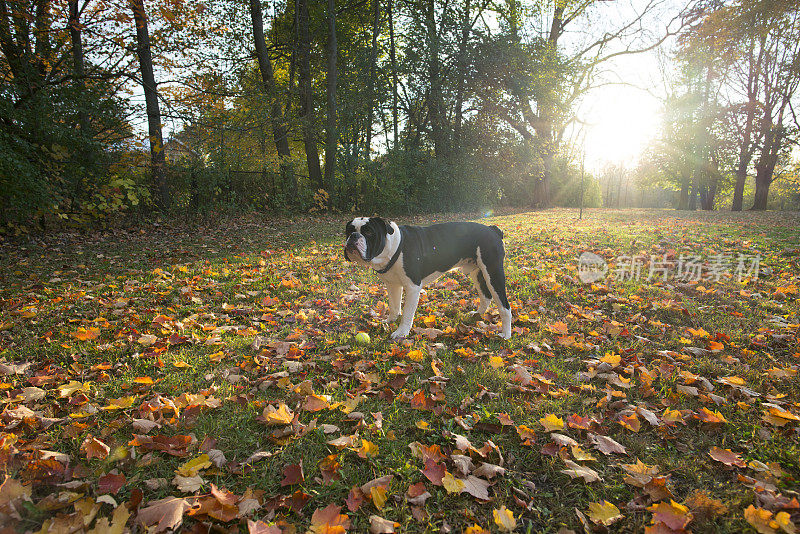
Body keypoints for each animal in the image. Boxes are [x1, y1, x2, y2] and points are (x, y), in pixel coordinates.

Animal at [346, 220, 512, 342]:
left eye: (368, 232)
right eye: (348, 230)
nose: (353, 236)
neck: (393, 246)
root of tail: (492, 229)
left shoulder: (412, 287)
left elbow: (407, 313)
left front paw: (401, 332)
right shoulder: (392, 285)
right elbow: (394, 306)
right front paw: (391, 320)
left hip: (493, 273)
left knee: (504, 306)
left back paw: (506, 334)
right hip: (477, 273)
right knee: (486, 296)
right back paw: (477, 314)